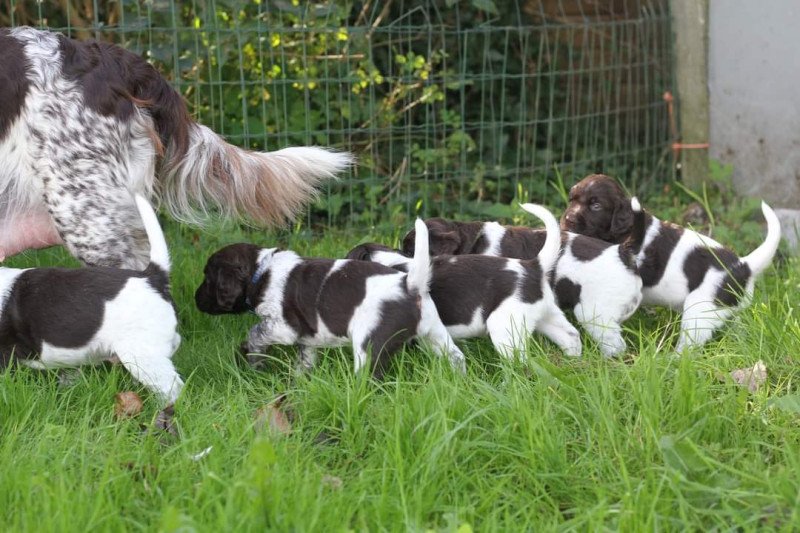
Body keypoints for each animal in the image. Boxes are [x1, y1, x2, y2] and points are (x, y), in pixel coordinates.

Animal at [195, 218, 466, 376]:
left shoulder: (284, 327)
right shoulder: (307, 338)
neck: (262, 270)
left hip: (369, 345)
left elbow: (255, 334)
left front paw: (252, 357)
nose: (196, 300)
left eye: (207, 278)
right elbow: (304, 360)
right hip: (435, 334)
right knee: (456, 358)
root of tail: (409, 284)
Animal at [560, 172, 780, 352]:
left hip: (699, 311)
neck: (624, 230)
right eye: (572, 200)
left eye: (595, 206)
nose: (567, 219)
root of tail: (744, 266)